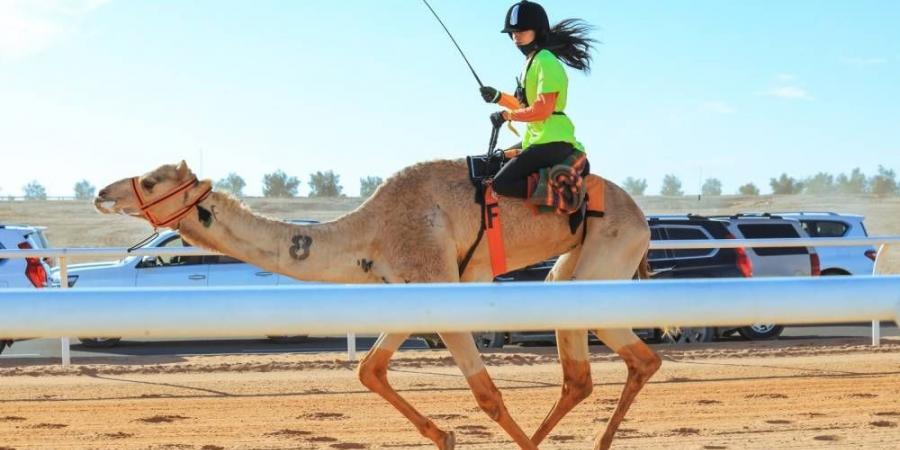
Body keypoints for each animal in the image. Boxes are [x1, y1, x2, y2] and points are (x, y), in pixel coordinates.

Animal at [93, 160, 660, 448]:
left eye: (149, 179)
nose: (101, 192)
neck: (369, 232)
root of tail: (643, 218)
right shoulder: (408, 290)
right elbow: (369, 369)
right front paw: (445, 436)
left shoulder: (438, 284)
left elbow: (487, 395)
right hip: (573, 273)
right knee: (597, 371)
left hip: (603, 258)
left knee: (630, 360)